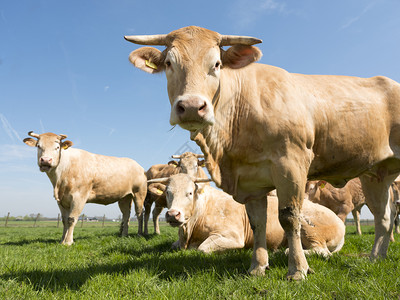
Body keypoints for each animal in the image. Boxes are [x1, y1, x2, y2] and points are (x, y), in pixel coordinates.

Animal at [126, 26, 400, 282]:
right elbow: (258, 222)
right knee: (384, 217)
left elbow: (289, 217)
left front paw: (297, 270)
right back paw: (376, 258)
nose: (192, 106)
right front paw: (257, 267)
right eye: (169, 63)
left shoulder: (291, 163)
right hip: (376, 174)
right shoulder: (251, 180)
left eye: (216, 64)